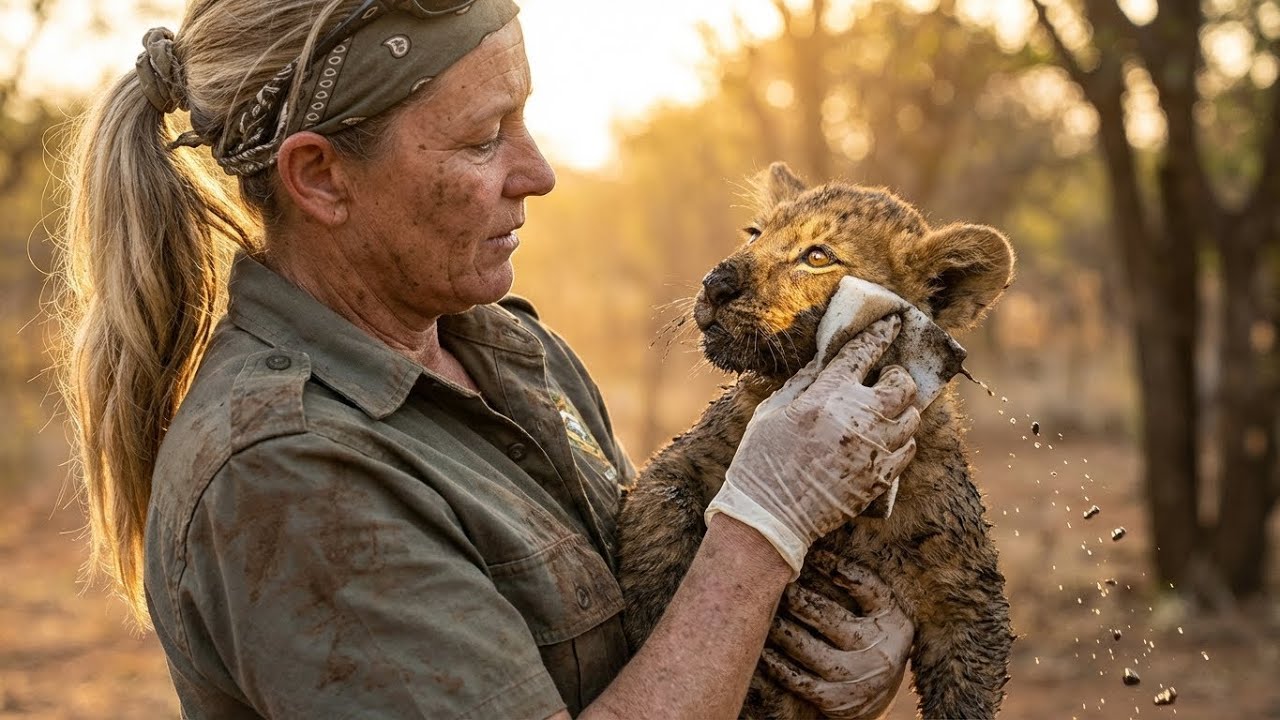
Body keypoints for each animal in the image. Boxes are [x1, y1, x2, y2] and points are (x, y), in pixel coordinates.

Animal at [618, 162, 1016, 719]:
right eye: (755, 234)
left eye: (818, 257)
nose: (715, 284)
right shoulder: (682, 461)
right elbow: (664, 505)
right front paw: (657, 623)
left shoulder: (967, 588)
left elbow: (966, 690)